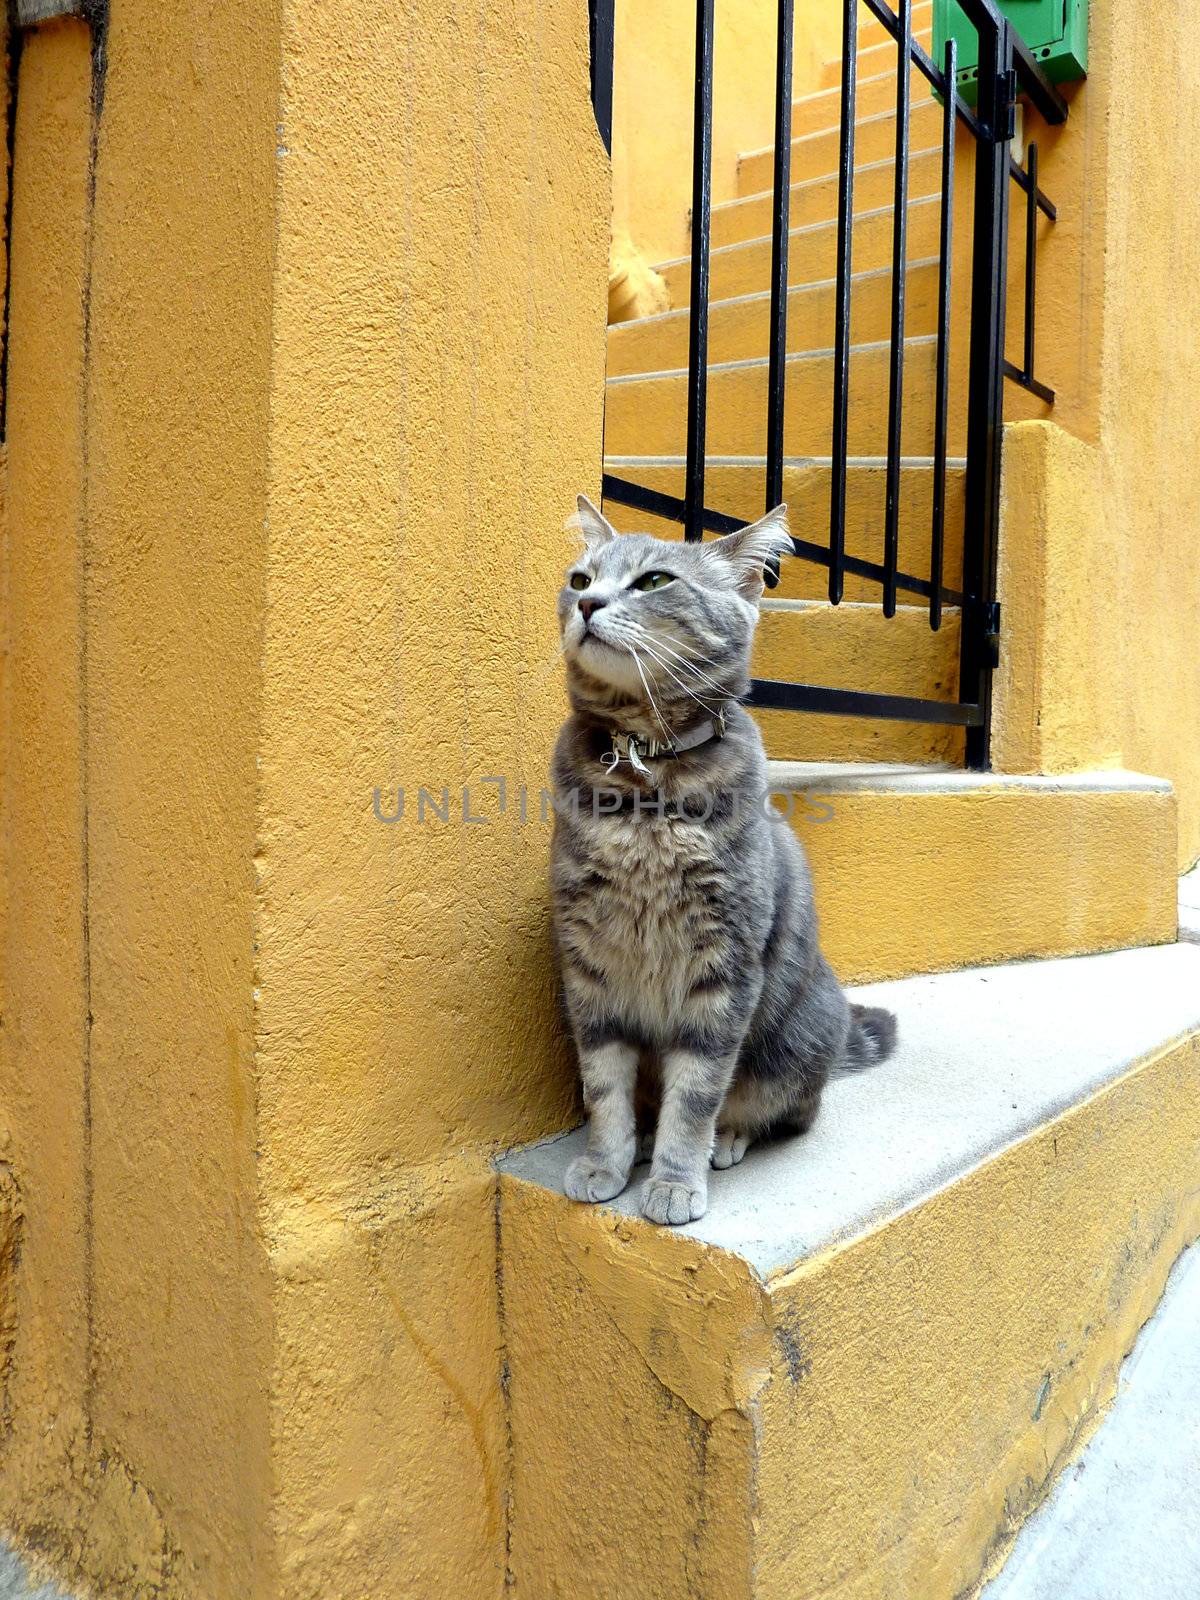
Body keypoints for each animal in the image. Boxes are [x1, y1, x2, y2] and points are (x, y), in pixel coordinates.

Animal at [550, 496, 896, 1222]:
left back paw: (727, 1141)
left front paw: (675, 1181)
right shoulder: (589, 967)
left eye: (654, 581)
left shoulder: (724, 971)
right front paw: (606, 1163)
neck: (645, 779)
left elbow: (695, 1095)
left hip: (789, 1046)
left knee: (782, 1112)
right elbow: (604, 1087)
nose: (588, 604)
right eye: (579, 578)